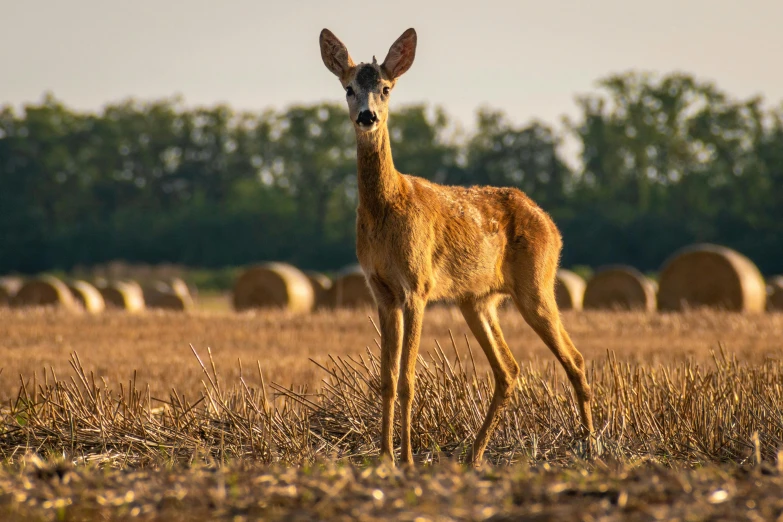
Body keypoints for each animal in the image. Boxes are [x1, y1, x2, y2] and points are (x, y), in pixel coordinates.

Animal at [318, 27, 596, 464]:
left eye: (385, 88)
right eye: (348, 88)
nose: (367, 116)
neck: (387, 209)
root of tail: (551, 224)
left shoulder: (417, 286)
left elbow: (408, 378)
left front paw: (407, 459)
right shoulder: (381, 290)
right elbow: (386, 379)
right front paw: (384, 458)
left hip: (537, 284)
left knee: (575, 359)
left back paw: (593, 447)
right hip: (477, 299)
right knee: (509, 370)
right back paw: (474, 456)